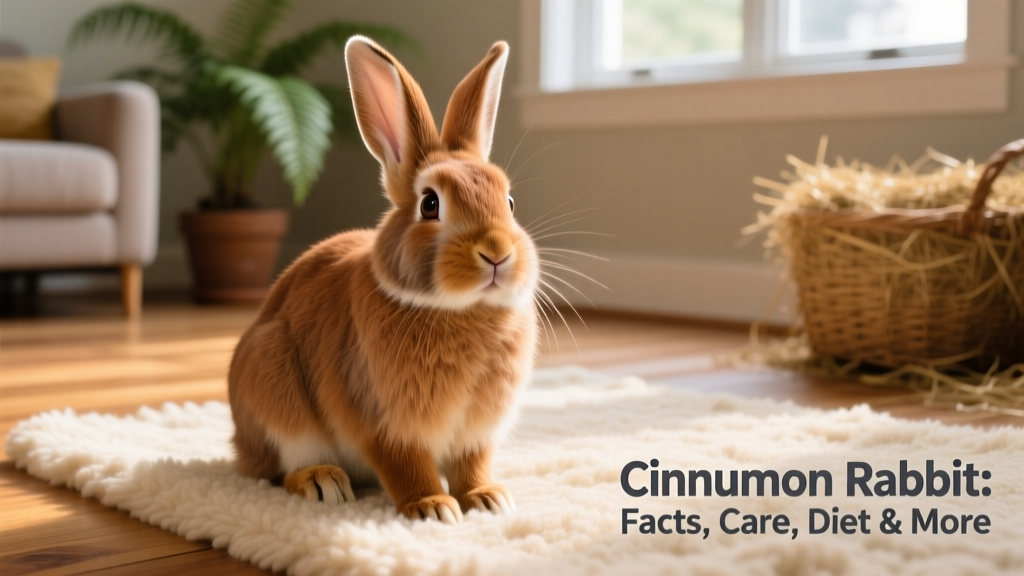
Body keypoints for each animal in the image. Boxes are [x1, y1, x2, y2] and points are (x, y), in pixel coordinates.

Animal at [227, 35, 538, 524]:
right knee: (282, 469)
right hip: (271, 378)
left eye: (508, 202)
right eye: (430, 204)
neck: (458, 309)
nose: (497, 253)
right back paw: (322, 482)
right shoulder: (382, 423)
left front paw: (488, 499)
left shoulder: (475, 433)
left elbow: (473, 464)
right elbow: (406, 466)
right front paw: (433, 508)